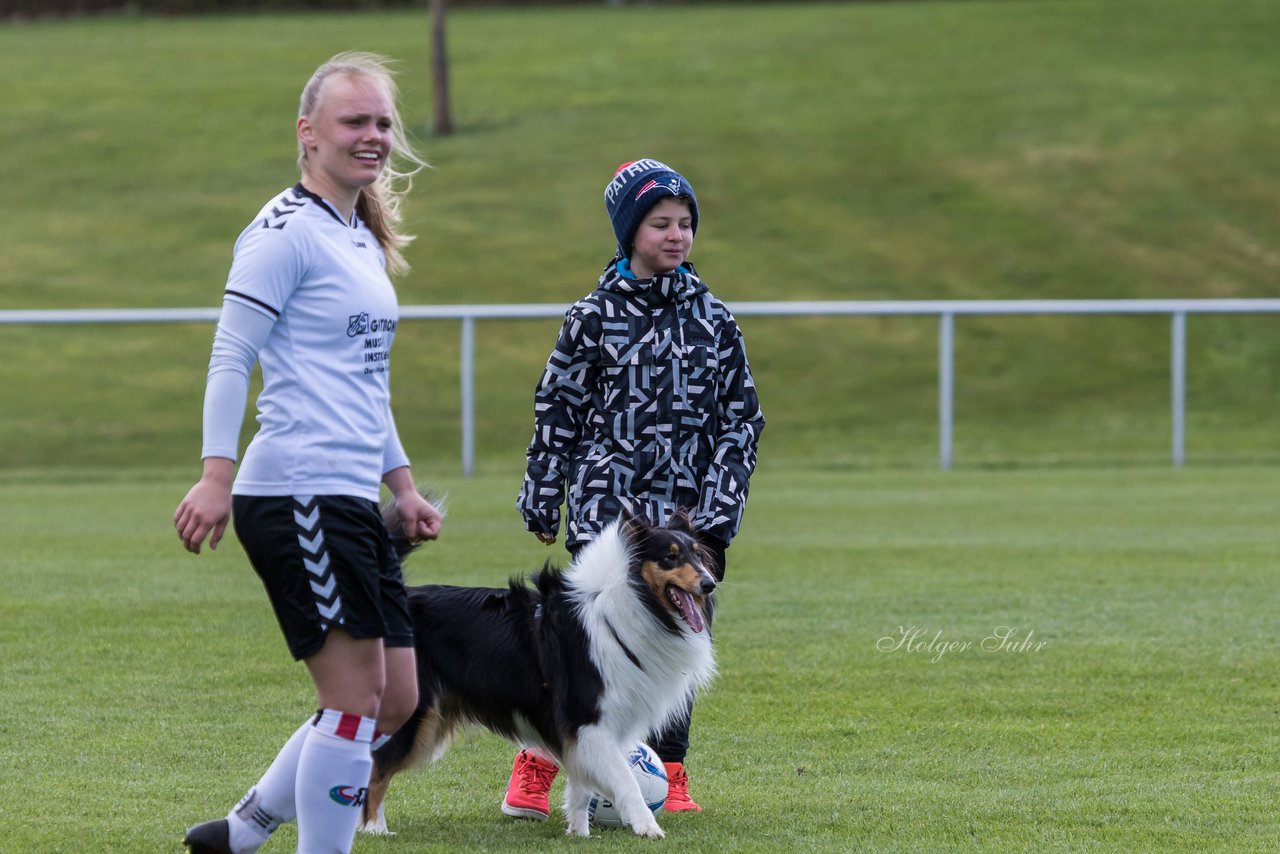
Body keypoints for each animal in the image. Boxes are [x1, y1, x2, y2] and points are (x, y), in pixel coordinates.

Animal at [363, 512, 721, 839]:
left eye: (698, 555)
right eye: (671, 557)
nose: (709, 583)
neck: (632, 606)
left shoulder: (591, 731)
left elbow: (581, 790)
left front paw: (578, 834)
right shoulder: (588, 719)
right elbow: (627, 781)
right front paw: (648, 827)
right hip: (412, 712)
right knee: (375, 768)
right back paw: (374, 829)